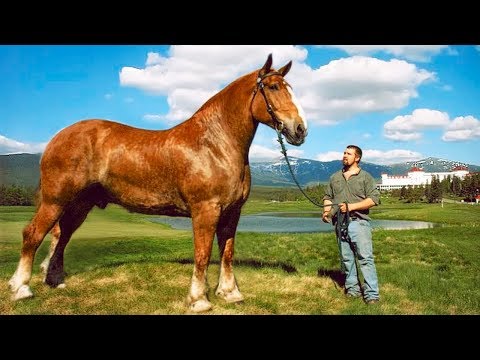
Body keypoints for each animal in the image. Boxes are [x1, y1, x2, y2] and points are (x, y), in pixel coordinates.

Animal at [10, 53, 308, 312]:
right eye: (273, 87)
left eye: (289, 88)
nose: (300, 129)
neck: (214, 144)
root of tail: (58, 138)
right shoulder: (205, 211)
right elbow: (202, 254)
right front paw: (199, 300)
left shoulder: (232, 212)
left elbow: (227, 253)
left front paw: (230, 294)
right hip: (55, 200)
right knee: (33, 235)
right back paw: (21, 288)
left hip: (78, 205)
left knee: (62, 236)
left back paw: (55, 281)